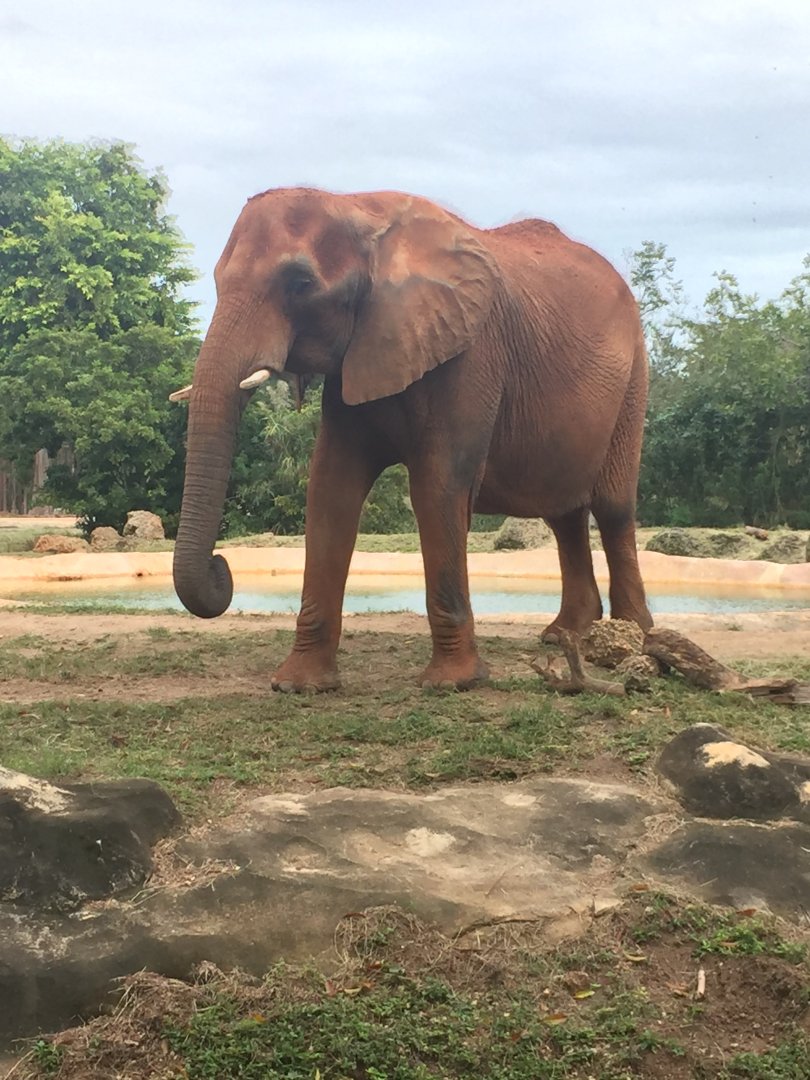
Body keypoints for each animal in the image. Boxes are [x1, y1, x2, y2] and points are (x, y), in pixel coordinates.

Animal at [171, 187, 653, 691]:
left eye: (300, 284)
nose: (222, 568)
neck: (357, 207)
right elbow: (330, 487)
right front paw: (300, 685)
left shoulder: (471, 351)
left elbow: (437, 485)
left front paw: (453, 683)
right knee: (563, 511)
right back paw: (564, 636)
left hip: (634, 377)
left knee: (613, 507)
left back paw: (632, 635)